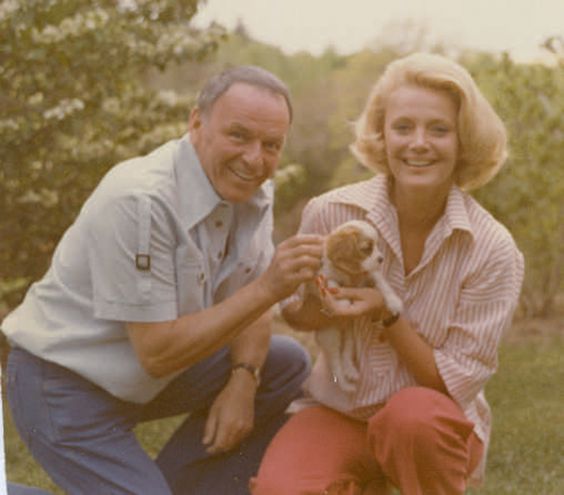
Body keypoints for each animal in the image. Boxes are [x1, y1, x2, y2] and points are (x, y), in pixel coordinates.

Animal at [318, 221, 400, 396]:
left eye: (377, 246)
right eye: (367, 248)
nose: (381, 259)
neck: (351, 273)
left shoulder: (370, 274)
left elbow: (382, 283)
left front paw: (393, 301)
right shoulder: (326, 276)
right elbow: (334, 286)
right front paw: (342, 303)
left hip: (349, 334)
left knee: (346, 352)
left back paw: (350, 371)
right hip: (331, 336)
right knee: (335, 363)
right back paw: (346, 385)